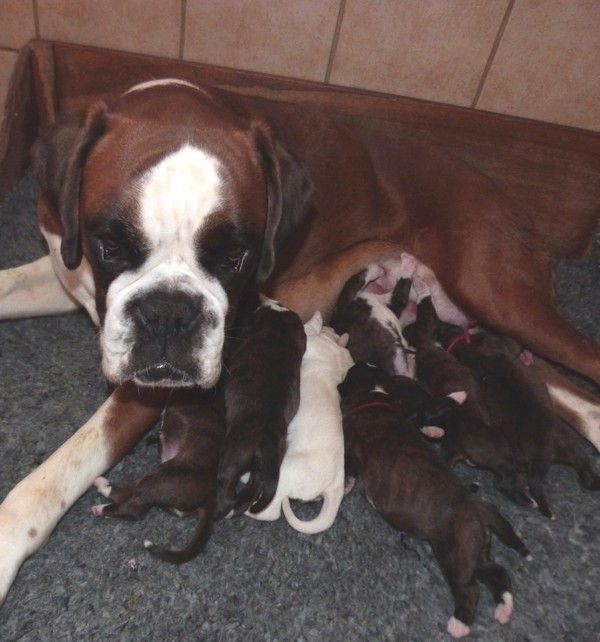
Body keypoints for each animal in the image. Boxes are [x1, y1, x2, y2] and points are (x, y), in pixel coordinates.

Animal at [247, 310, 354, 528]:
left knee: (271, 511)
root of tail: (336, 488)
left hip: (284, 471)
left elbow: (308, 329)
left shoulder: (311, 341)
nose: (330, 326)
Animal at [338, 362, 528, 636]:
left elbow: (348, 470)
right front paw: (446, 412)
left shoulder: (354, 448)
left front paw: (344, 487)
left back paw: (459, 624)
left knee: (470, 589)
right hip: (476, 550)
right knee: (498, 573)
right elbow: (426, 417)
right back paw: (503, 609)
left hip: (455, 555)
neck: (374, 396)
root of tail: (479, 508)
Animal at [404, 298, 536, 508]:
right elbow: (514, 342)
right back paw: (527, 497)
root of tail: (458, 446)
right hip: (500, 452)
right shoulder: (505, 342)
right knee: (504, 478)